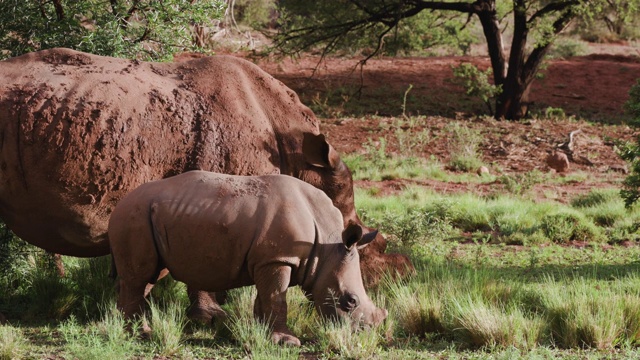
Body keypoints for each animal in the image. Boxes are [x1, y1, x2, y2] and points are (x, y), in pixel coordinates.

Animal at [108, 172, 388, 346]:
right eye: (350, 301)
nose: (366, 335)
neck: (326, 248)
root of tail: (119, 204)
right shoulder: (278, 259)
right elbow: (277, 299)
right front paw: (287, 342)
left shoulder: (267, 260)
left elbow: (265, 298)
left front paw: (262, 333)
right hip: (134, 215)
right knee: (140, 276)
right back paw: (140, 334)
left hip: (150, 216)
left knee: (149, 276)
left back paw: (131, 329)